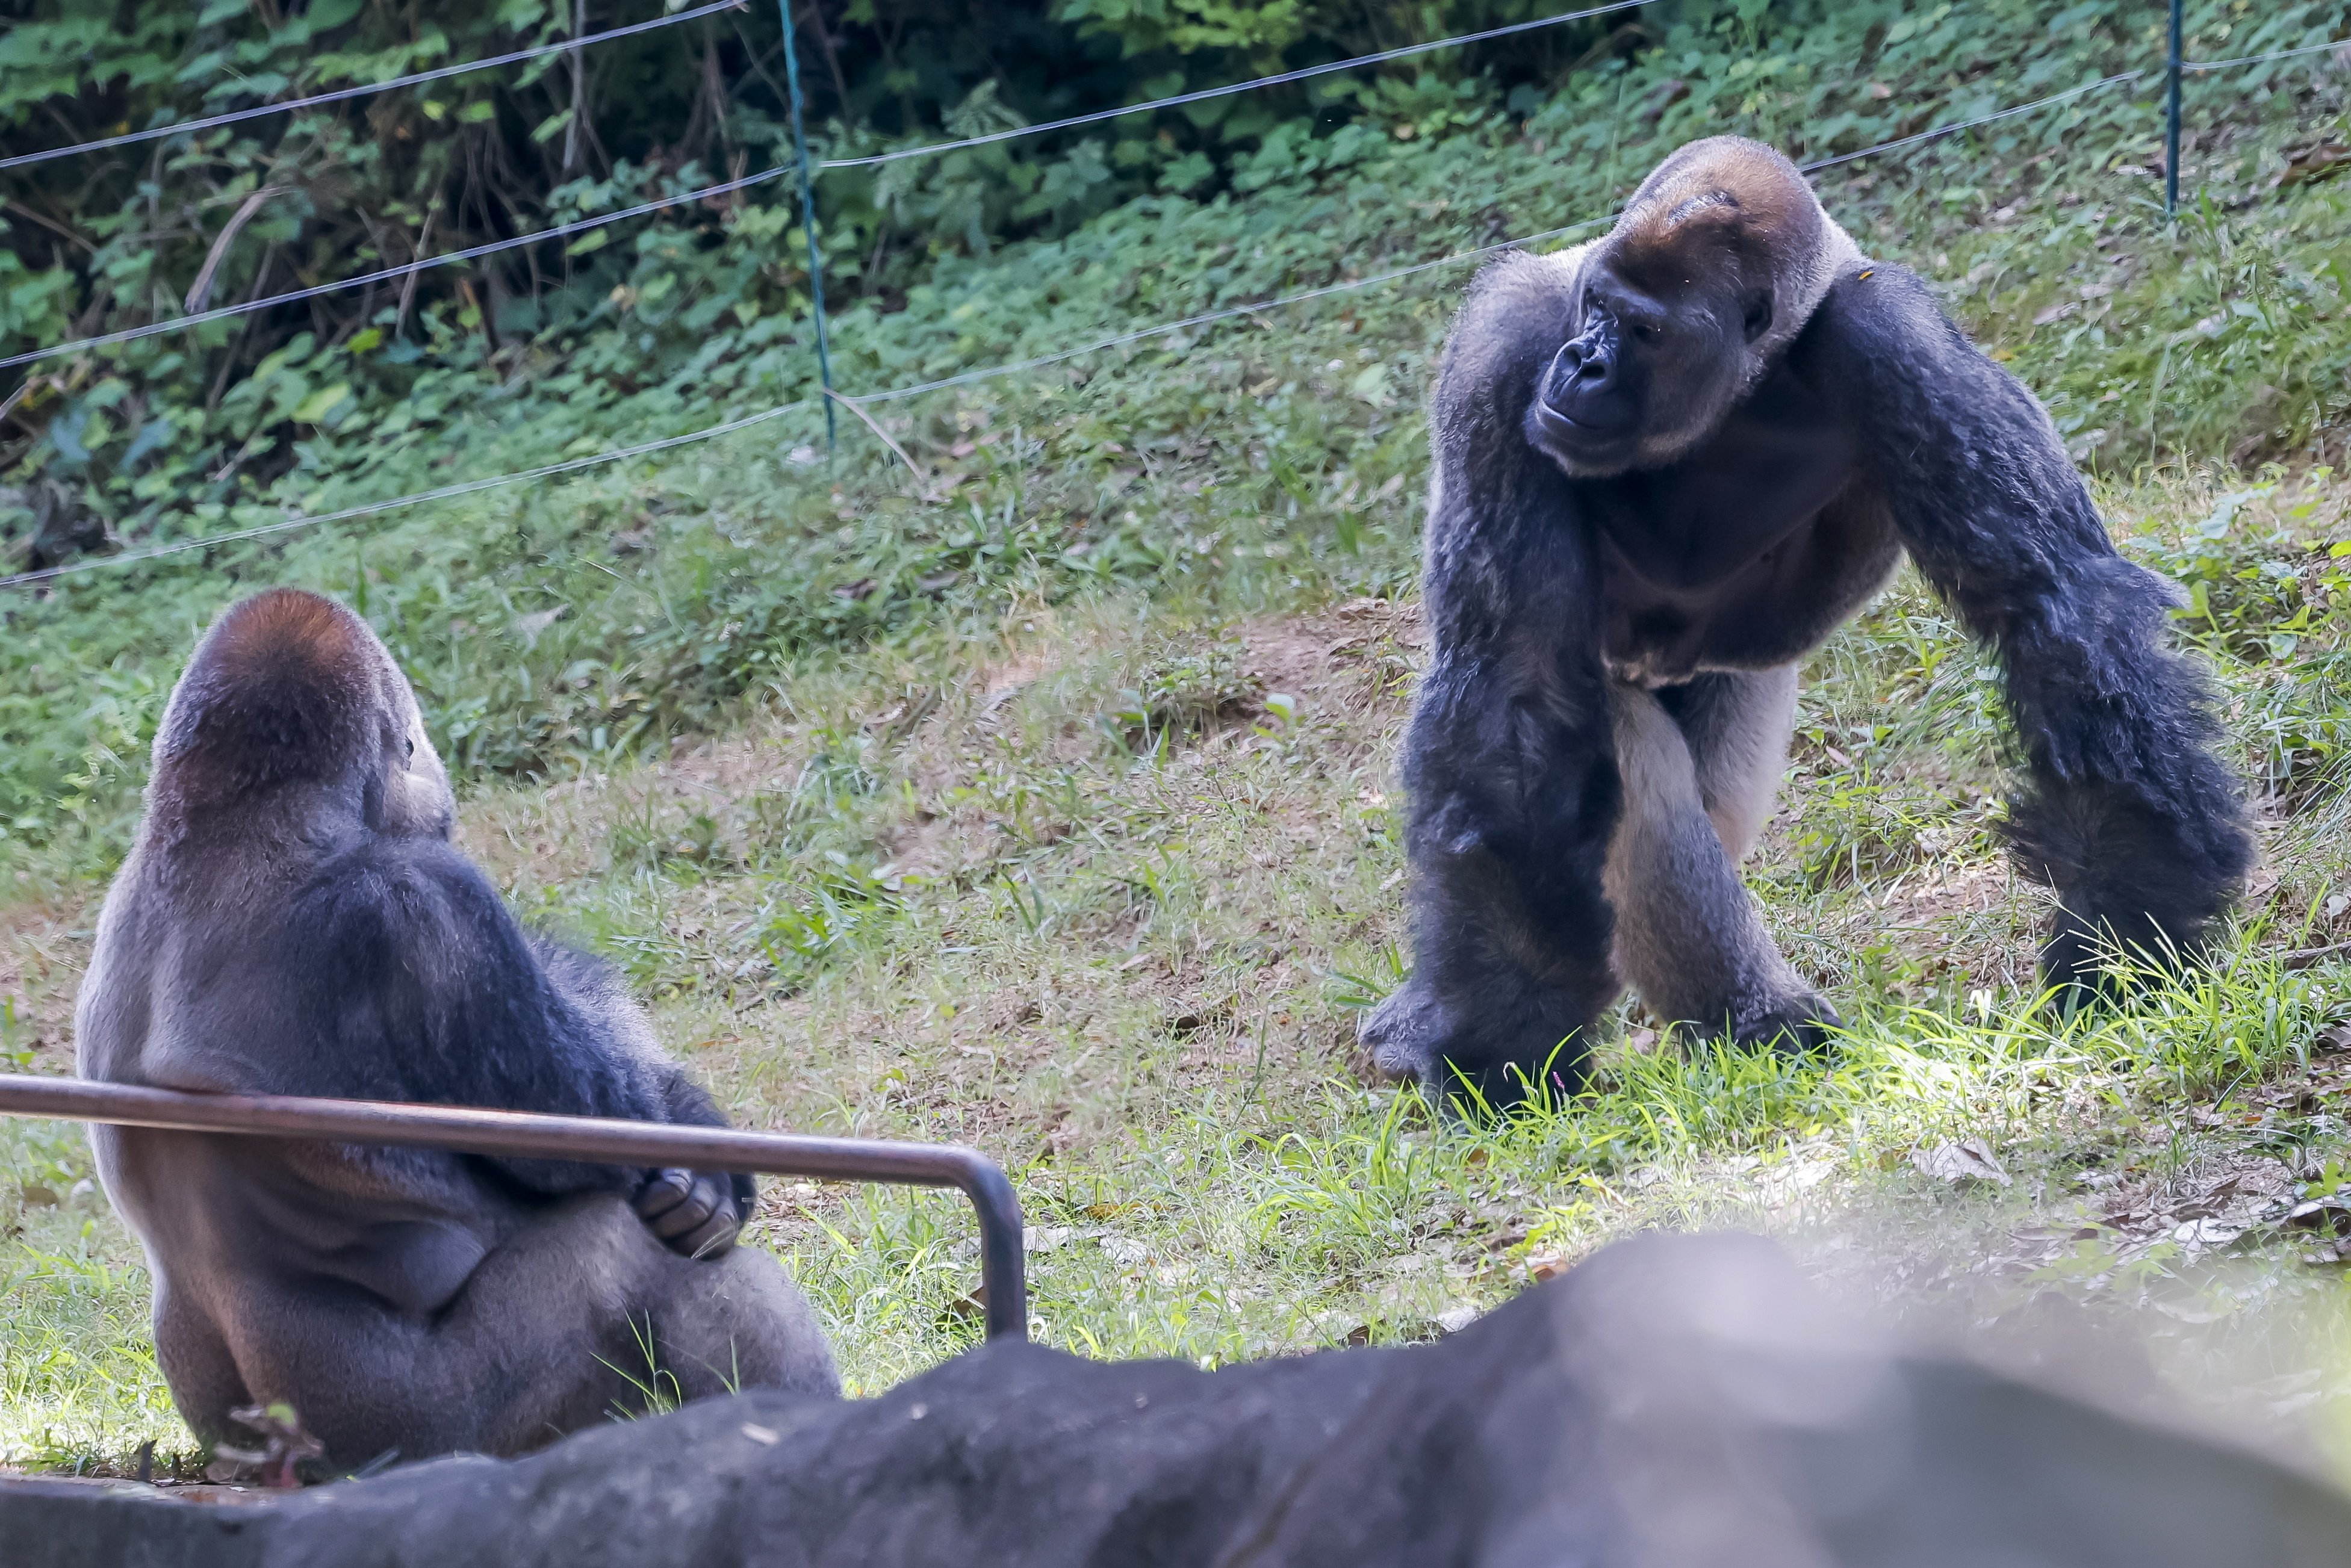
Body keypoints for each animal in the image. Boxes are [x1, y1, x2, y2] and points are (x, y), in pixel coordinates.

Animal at [78, 587, 841, 1476]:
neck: (218, 830)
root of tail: (282, 1473)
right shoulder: (429, 902)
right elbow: (604, 1129)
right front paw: (705, 1168)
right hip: (434, 1440)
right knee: (628, 1255)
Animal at [1373, 141, 2247, 1109]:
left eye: (1643, 331)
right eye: (1594, 308)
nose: (1581, 365)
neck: (1741, 382)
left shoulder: (1889, 335)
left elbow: (2052, 606)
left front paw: (2123, 924)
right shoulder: (1506, 348)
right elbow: (1516, 688)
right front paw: (1507, 1033)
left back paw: (1749, 1021)